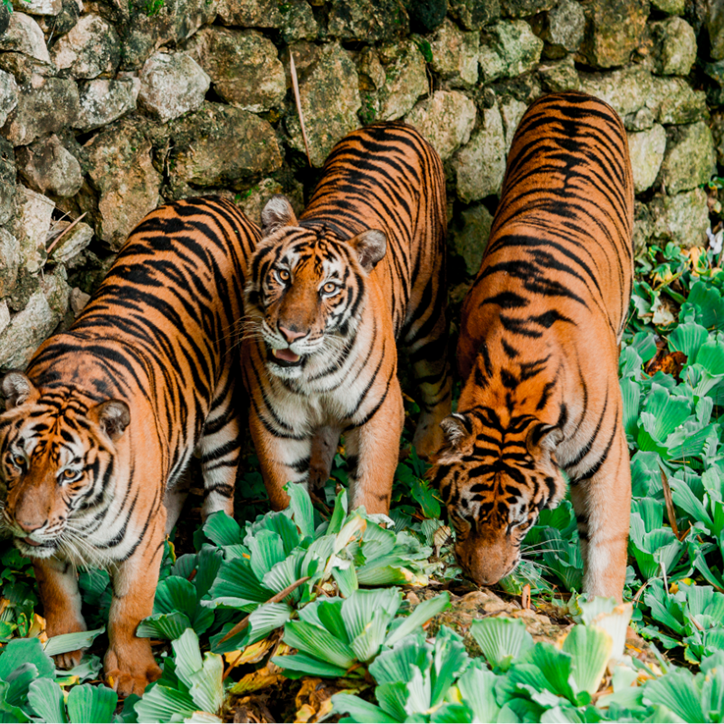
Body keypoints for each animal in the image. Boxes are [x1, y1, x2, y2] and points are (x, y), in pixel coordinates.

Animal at [0, 197, 258, 696]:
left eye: (69, 474)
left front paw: (132, 674)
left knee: (219, 491)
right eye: (18, 462)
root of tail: (215, 199)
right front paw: (65, 647)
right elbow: (58, 591)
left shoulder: (136, 553)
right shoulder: (49, 546)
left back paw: (215, 552)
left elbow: (129, 609)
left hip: (222, 414)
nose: (25, 525)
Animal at [242, 122, 451, 514]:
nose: (290, 333)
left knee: (439, 381)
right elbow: (287, 499)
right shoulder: (275, 422)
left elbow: (371, 491)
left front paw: (362, 529)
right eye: (282, 275)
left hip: (427, 313)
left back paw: (428, 451)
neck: (312, 373)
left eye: (328, 288)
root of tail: (395, 123)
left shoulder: (381, 409)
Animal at [429, 92, 634, 601]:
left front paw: (600, 615)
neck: (516, 374)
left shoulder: (610, 465)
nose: (484, 582)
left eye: (519, 523)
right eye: (464, 515)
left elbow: (606, 544)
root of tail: (575, 92)